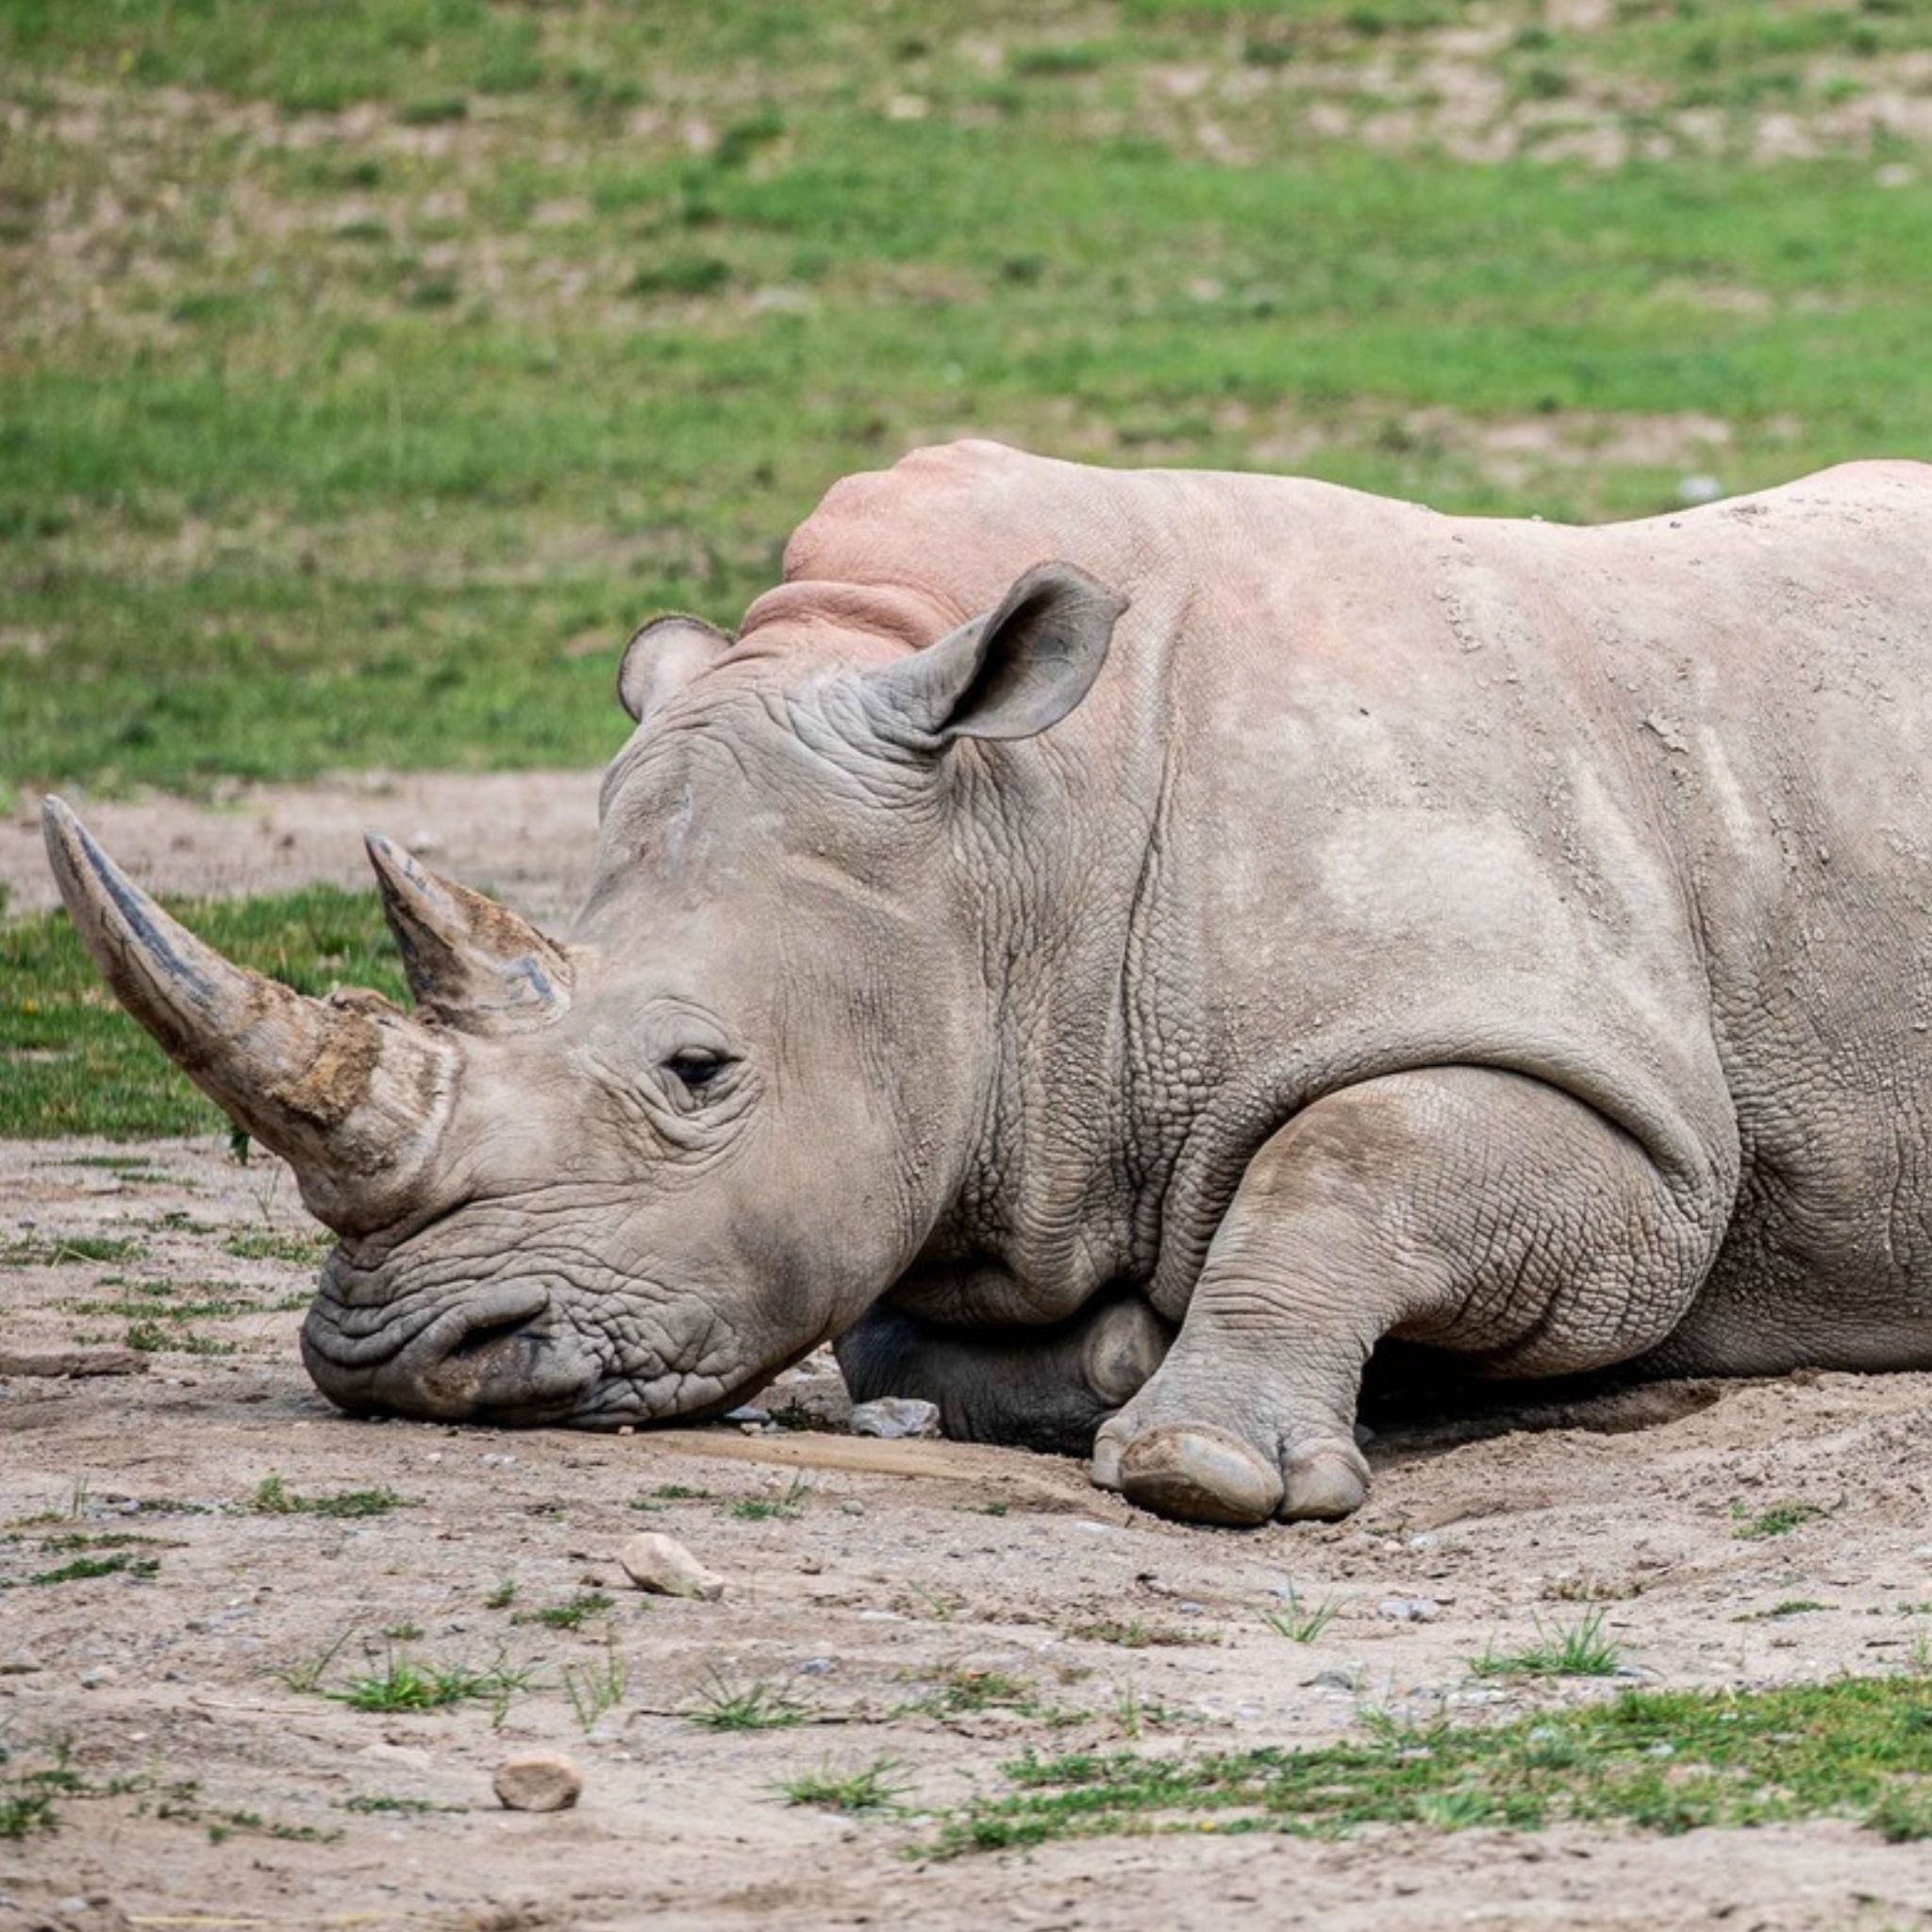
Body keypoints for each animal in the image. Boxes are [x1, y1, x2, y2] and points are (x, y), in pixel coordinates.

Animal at [43, 440, 1932, 1526]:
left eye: (699, 1070)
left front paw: (1202, 1468)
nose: (400, 1356)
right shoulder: (959, 1110)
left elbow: (1343, 1163)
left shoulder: (1610, 1103)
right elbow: (887, 1295)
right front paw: (1112, 1356)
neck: (1021, 841)